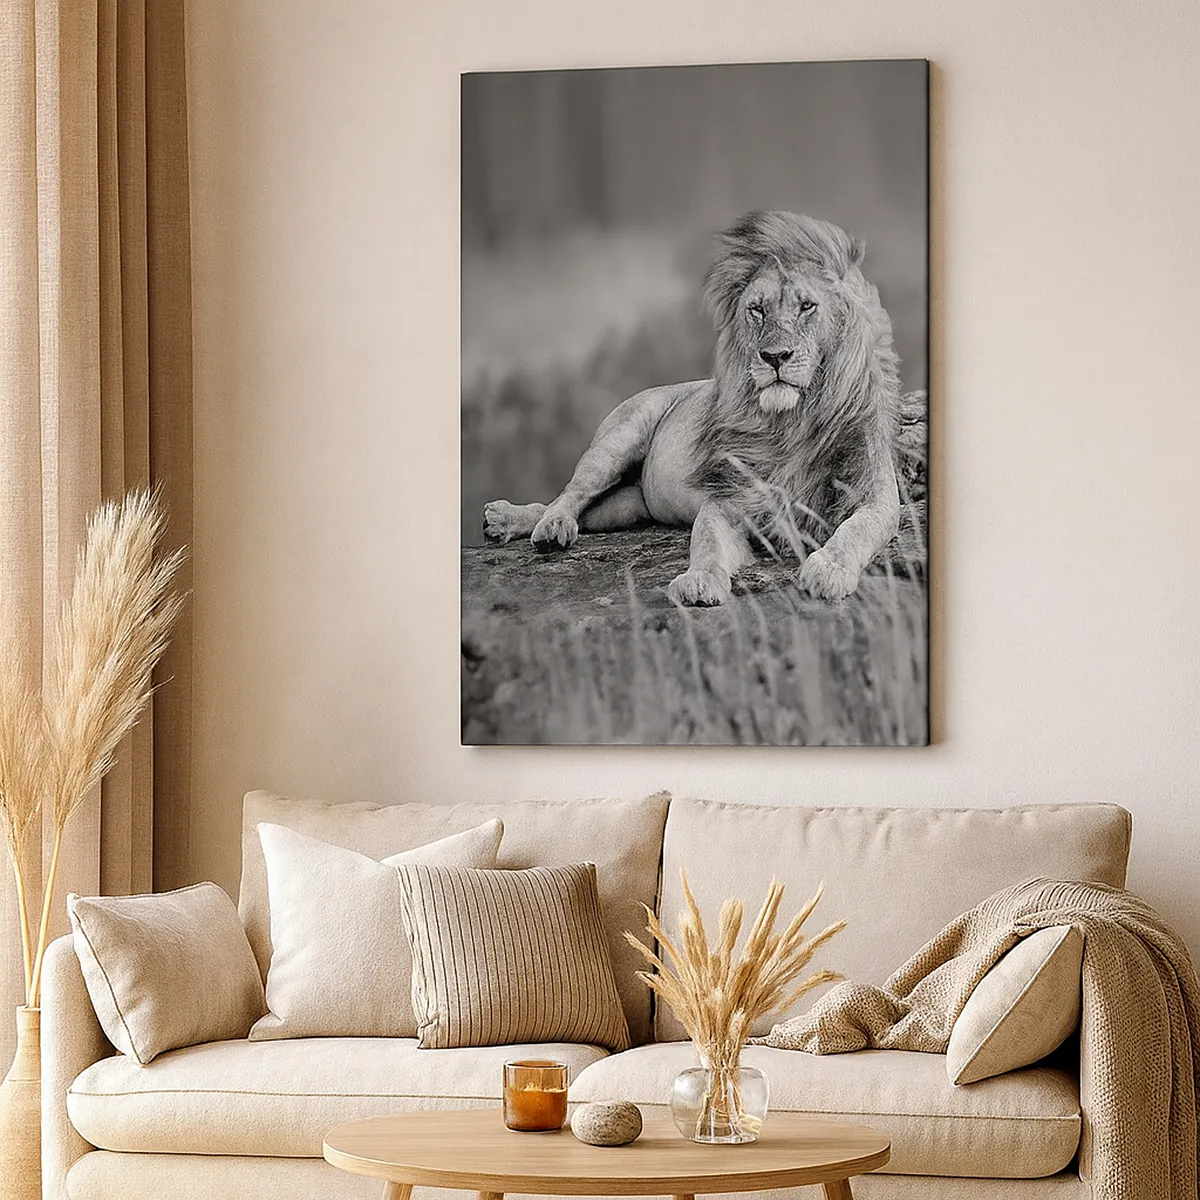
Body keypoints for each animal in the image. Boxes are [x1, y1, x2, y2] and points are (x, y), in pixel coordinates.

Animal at [482, 210, 902, 605]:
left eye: (807, 307)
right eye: (757, 310)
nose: (774, 357)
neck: (792, 422)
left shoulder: (876, 495)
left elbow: (855, 531)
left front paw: (829, 570)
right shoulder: (727, 498)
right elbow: (707, 543)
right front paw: (699, 582)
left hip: (628, 506)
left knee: (587, 511)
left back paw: (506, 521)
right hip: (617, 439)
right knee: (569, 495)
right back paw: (542, 526)